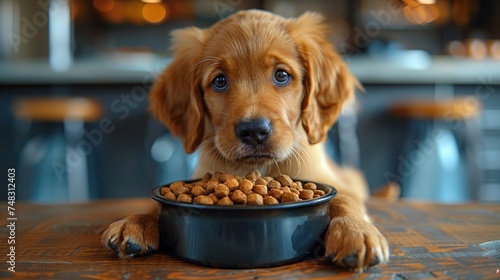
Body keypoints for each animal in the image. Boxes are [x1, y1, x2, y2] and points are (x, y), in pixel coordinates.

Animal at [101, 9, 388, 272]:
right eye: (219, 81)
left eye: (282, 75)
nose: (254, 131)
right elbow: (156, 203)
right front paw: (136, 221)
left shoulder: (332, 181)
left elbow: (344, 199)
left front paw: (354, 231)